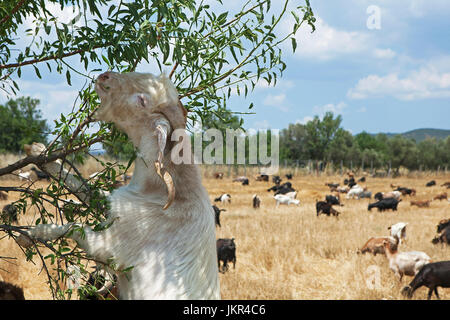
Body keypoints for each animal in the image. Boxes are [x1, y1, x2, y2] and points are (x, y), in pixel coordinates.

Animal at [16, 70, 221, 300]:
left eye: (142, 100)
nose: (105, 76)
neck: (165, 192)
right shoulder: (117, 202)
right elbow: (84, 187)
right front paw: (39, 152)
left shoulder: (111, 247)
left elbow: (74, 227)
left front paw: (31, 234)